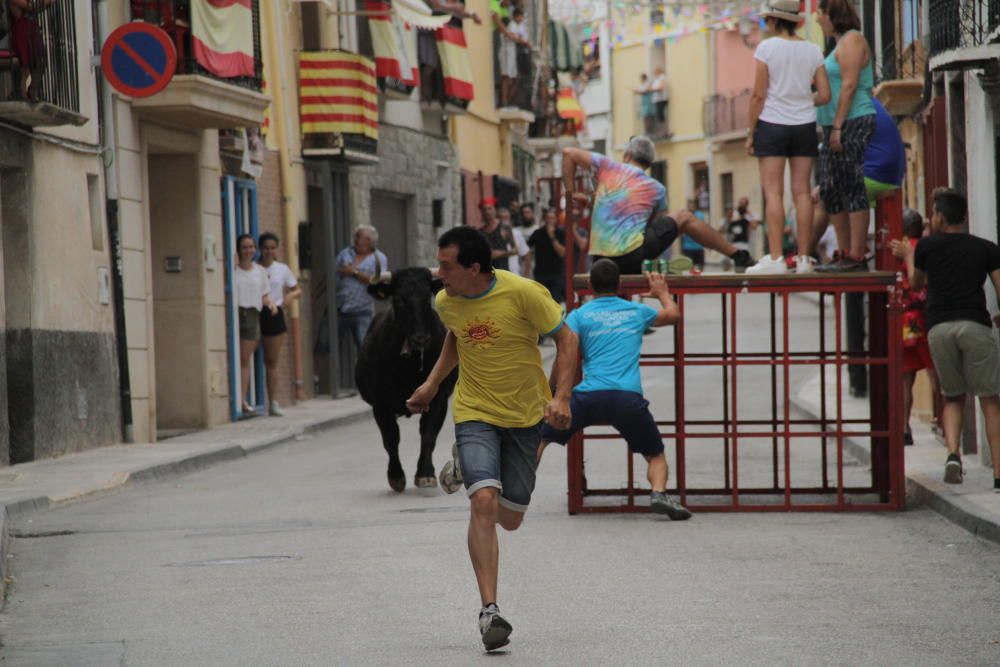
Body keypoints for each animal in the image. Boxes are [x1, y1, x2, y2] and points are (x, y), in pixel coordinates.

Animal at [356, 266, 458, 490]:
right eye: (399, 299)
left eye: (427, 296)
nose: (421, 338)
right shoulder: (381, 404)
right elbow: (390, 438)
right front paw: (396, 476)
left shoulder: (438, 398)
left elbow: (428, 434)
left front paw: (426, 474)